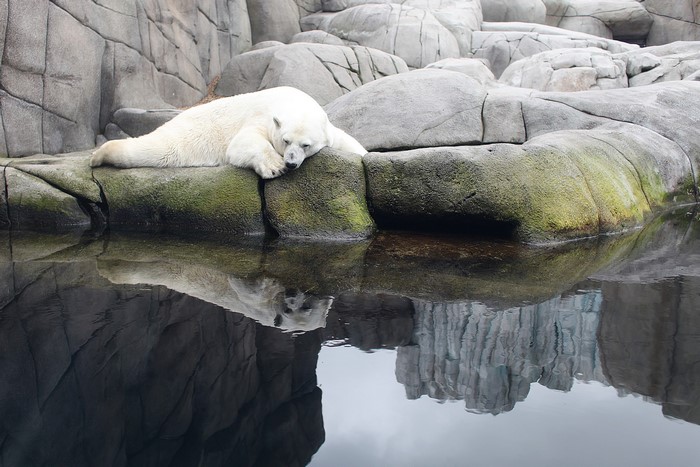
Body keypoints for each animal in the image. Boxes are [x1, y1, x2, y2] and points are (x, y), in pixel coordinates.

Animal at [90, 86, 367, 179]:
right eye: (286, 140)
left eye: (306, 145)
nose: (290, 163)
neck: (291, 99)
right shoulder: (262, 116)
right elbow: (242, 142)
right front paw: (274, 167)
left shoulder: (328, 129)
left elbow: (346, 141)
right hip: (190, 133)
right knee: (160, 149)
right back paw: (98, 155)